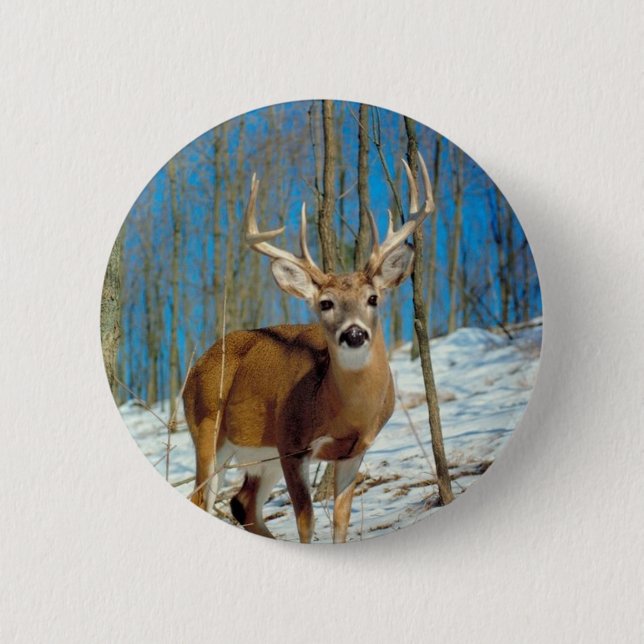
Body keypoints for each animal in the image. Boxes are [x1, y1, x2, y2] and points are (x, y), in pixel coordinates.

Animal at [183, 152, 434, 543]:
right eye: (326, 303)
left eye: (373, 298)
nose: (354, 334)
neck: (339, 411)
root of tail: (195, 368)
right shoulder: (292, 444)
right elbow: (306, 520)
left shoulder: (354, 451)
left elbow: (341, 519)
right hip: (208, 429)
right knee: (202, 500)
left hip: (261, 455)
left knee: (243, 504)